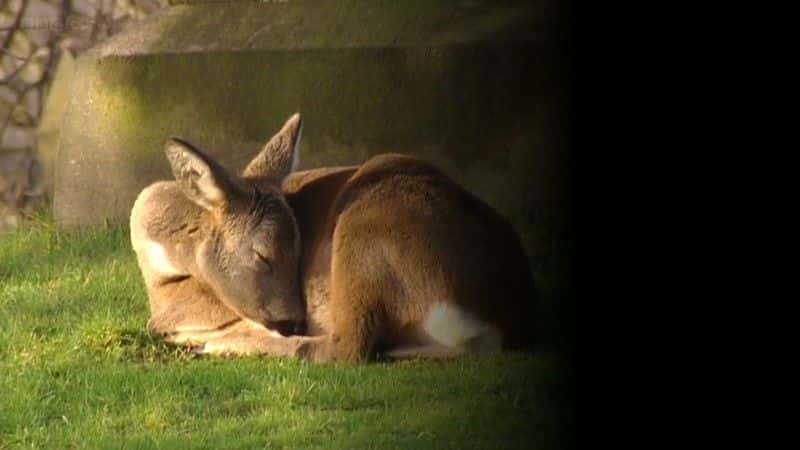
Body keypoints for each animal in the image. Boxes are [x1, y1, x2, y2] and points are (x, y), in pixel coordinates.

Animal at [131, 113, 536, 362]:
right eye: (263, 255)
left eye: (299, 253)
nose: (293, 320)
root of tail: (495, 323)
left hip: (362, 236)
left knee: (348, 346)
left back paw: (219, 344)